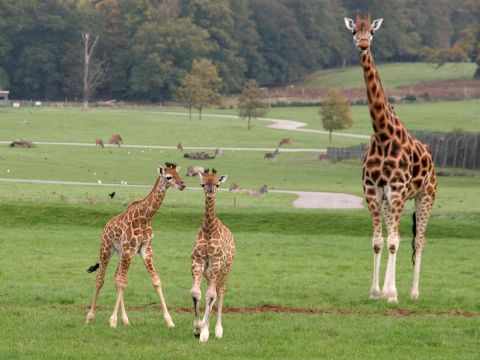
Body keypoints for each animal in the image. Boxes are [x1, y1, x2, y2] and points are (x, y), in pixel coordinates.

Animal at [85, 162, 185, 328]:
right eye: (168, 177)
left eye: (180, 175)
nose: (183, 184)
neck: (144, 218)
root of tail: (106, 225)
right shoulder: (129, 249)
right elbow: (123, 282)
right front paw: (112, 321)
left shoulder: (145, 249)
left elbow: (155, 280)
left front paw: (169, 320)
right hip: (107, 248)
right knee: (101, 278)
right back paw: (89, 317)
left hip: (120, 252)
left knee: (116, 277)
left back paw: (125, 320)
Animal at [191, 169, 236, 344]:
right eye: (202, 184)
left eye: (217, 184)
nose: (210, 193)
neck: (209, 229)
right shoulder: (197, 261)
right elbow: (196, 293)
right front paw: (198, 328)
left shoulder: (216, 262)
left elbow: (211, 295)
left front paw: (204, 333)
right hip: (209, 272)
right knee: (212, 292)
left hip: (225, 268)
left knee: (221, 292)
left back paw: (217, 330)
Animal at [344, 12, 436, 302]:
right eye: (354, 31)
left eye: (372, 32)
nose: (363, 43)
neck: (383, 136)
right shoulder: (374, 191)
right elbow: (378, 241)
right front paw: (376, 292)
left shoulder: (396, 190)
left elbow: (395, 241)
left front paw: (393, 294)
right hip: (392, 200)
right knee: (395, 235)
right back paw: (387, 290)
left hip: (425, 195)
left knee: (418, 239)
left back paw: (414, 292)